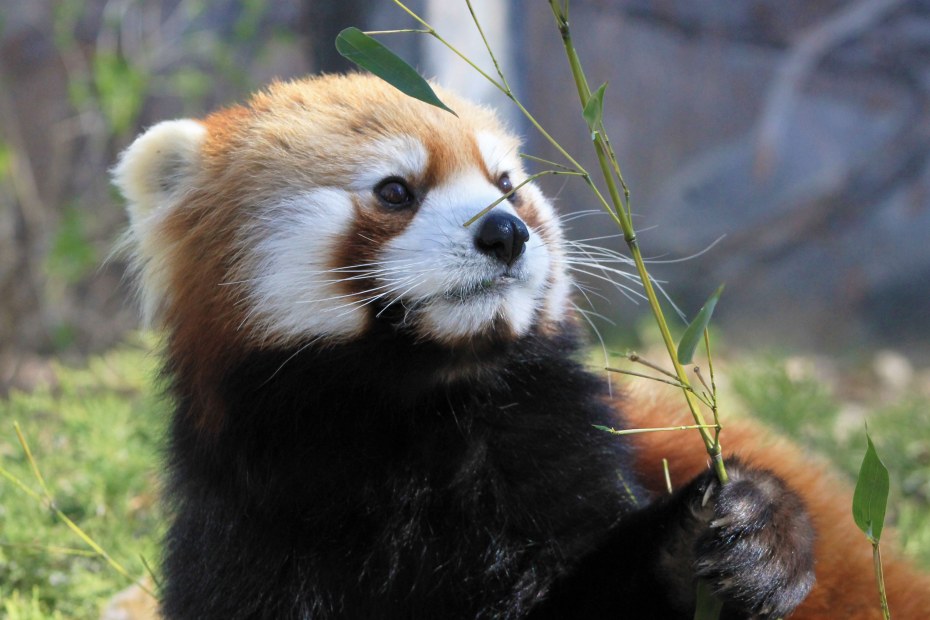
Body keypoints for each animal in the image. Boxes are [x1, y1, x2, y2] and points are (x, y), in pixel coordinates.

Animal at [116, 75, 928, 616]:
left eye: (506, 183)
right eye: (395, 190)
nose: (505, 232)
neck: (418, 418)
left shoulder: (558, 456)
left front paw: (739, 532)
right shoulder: (256, 522)